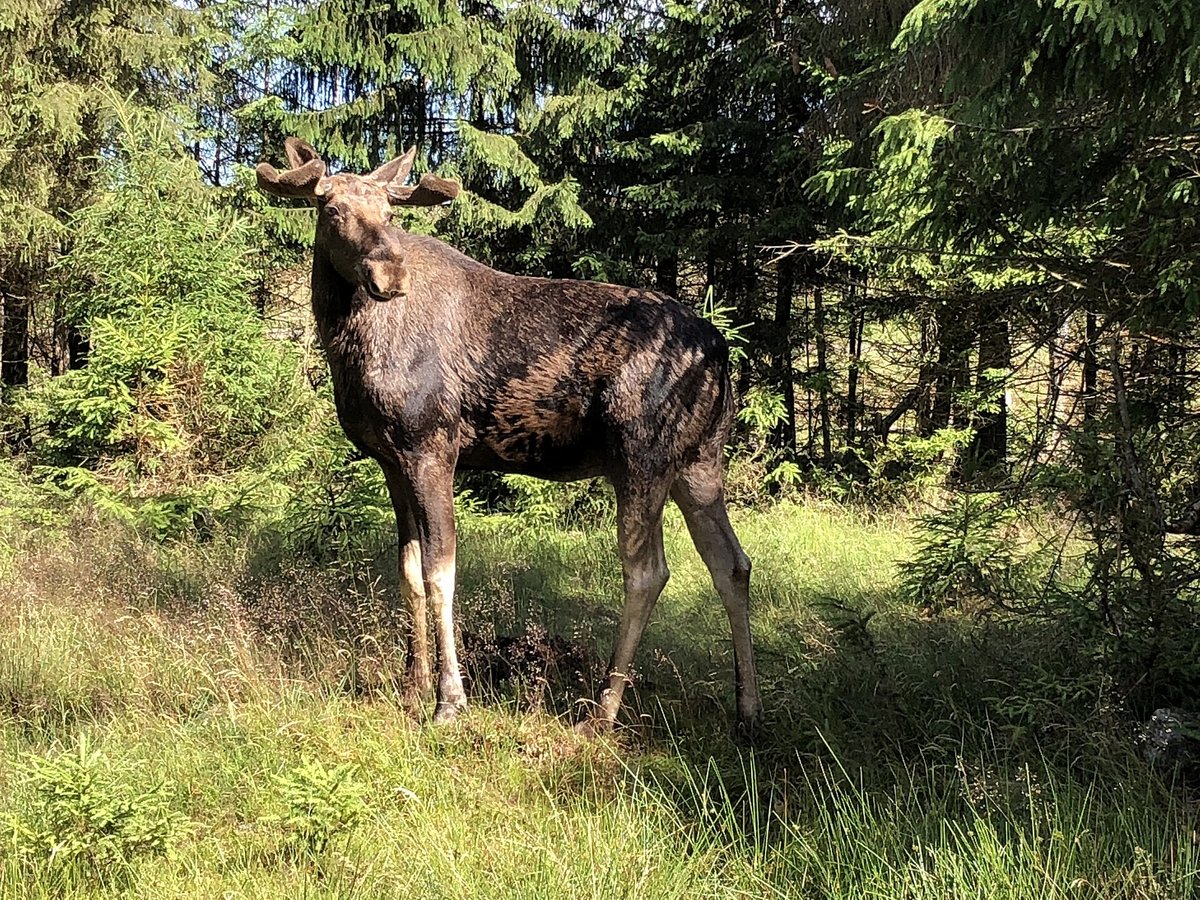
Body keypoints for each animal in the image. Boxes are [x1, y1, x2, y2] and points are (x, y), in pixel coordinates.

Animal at [256, 138, 762, 737]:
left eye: (390, 213)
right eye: (331, 209)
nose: (389, 273)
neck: (348, 345)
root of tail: (722, 354)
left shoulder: (432, 447)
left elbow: (440, 571)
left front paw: (449, 701)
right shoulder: (390, 459)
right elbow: (407, 571)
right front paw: (411, 688)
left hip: (641, 458)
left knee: (647, 571)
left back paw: (601, 712)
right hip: (699, 463)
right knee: (731, 563)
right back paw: (749, 709)